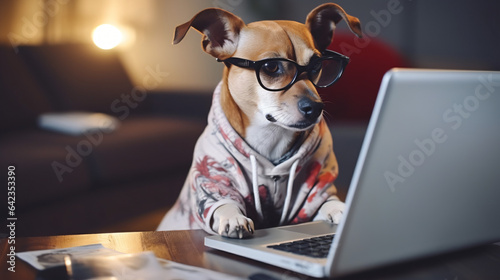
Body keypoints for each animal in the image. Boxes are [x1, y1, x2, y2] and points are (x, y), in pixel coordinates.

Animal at [158, 2, 362, 238]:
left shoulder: (316, 189)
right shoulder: (213, 178)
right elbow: (222, 203)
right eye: (271, 67)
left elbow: (329, 203)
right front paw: (233, 217)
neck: (270, 138)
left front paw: (344, 209)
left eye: (316, 67)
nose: (316, 107)